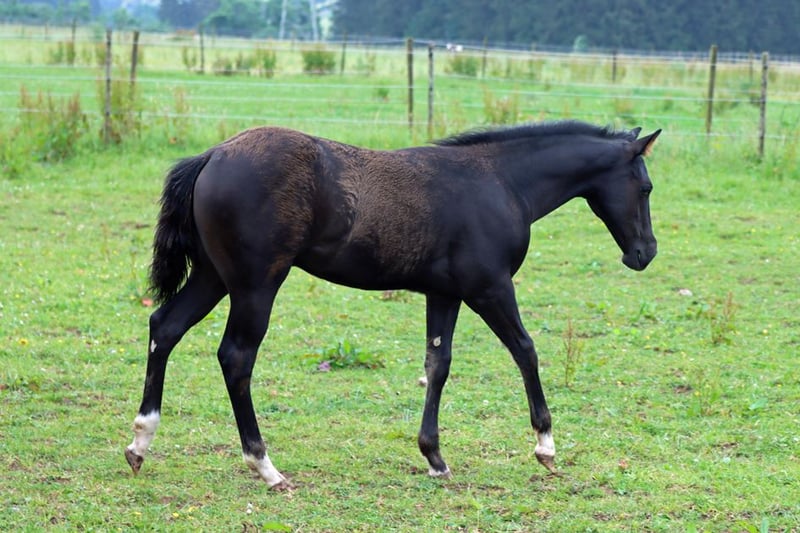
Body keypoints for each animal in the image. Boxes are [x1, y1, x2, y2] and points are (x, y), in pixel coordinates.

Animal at [125, 120, 660, 489]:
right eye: (646, 187)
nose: (645, 253)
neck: (500, 182)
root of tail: (214, 154)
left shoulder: (445, 293)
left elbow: (437, 364)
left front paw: (435, 458)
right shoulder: (489, 287)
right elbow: (525, 350)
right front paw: (545, 447)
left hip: (214, 276)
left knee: (164, 326)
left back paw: (140, 441)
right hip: (257, 284)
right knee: (236, 357)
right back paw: (266, 466)